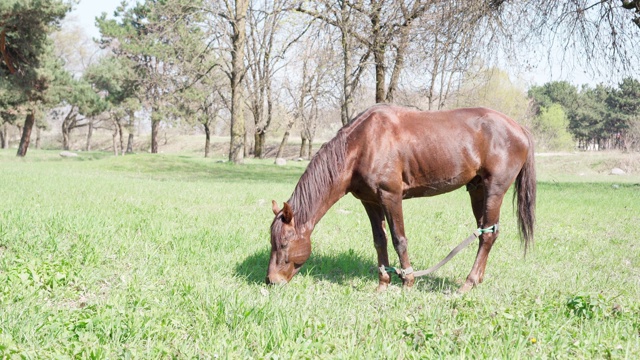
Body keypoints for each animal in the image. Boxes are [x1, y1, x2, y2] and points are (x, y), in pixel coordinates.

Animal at [266, 104, 536, 292]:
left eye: (284, 244)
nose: (271, 281)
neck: (363, 144)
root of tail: (519, 128)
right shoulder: (370, 201)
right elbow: (380, 241)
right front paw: (383, 283)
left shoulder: (391, 196)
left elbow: (399, 239)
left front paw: (407, 281)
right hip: (477, 190)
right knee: (485, 232)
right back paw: (477, 279)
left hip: (494, 190)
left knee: (488, 235)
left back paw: (467, 284)